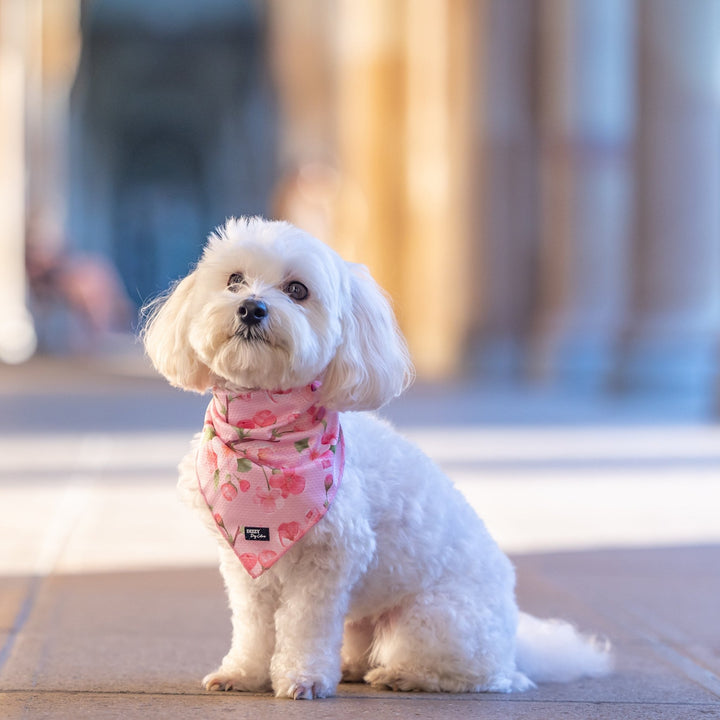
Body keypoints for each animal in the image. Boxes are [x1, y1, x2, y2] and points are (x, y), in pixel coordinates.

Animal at [142, 218, 612, 696]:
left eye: (297, 290)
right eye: (234, 280)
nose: (251, 308)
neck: (263, 426)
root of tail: (516, 641)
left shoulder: (329, 561)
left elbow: (305, 624)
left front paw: (303, 676)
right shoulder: (244, 561)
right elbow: (254, 625)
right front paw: (244, 672)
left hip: (432, 618)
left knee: (480, 676)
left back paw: (402, 674)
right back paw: (351, 665)